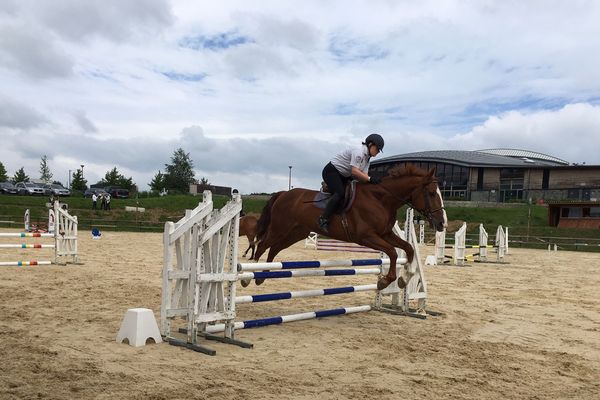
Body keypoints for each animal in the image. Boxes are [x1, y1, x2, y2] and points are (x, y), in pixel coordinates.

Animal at [246, 164, 448, 290]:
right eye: (432, 193)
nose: (442, 223)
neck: (381, 200)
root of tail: (283, 194)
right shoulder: (367, 236)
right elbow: (391, 252)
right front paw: (384, 282)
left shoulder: (385, 234)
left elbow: (408, 248)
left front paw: (404, 278)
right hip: (280, 228)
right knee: (262, 245)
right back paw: (248, 277)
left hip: (295, 233)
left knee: (274, 249)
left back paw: (262, 276)